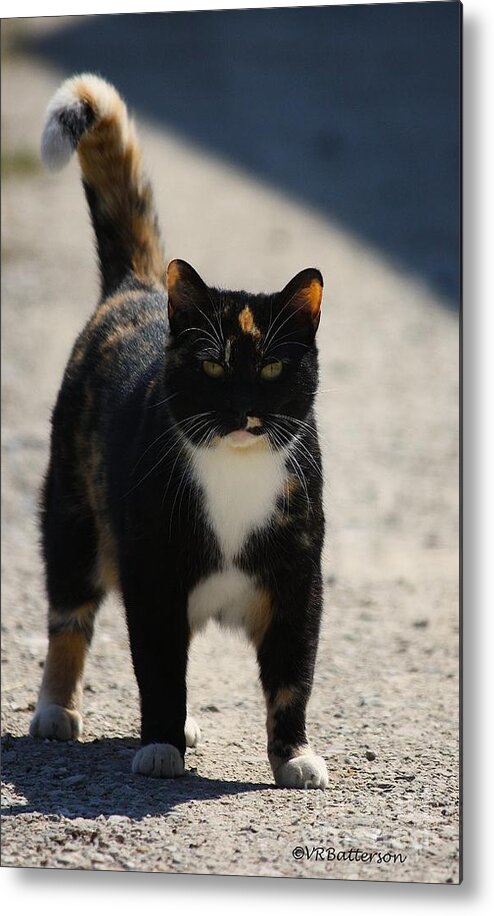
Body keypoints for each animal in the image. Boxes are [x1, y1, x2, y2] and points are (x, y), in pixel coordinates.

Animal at [28, 73, 328, 788]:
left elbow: (292, 676)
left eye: (271, 366)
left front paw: (295, 755)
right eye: (213, 364)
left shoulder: (299, 580)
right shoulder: (154, 574)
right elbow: (159, 668)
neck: (235, 477)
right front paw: (160, 746)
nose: (244, 410)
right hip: (73, 513)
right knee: (69, 614)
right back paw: (55, 709)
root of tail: (136, 287)